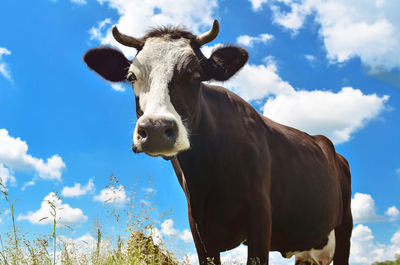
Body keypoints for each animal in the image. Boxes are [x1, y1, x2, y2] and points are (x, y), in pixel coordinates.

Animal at [83, 19, 352, 262]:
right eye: (131, 76)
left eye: (195, 74)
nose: (156, 128)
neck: (206, 175)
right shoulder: (198, 227)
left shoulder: (260, 216)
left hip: (344, 228)